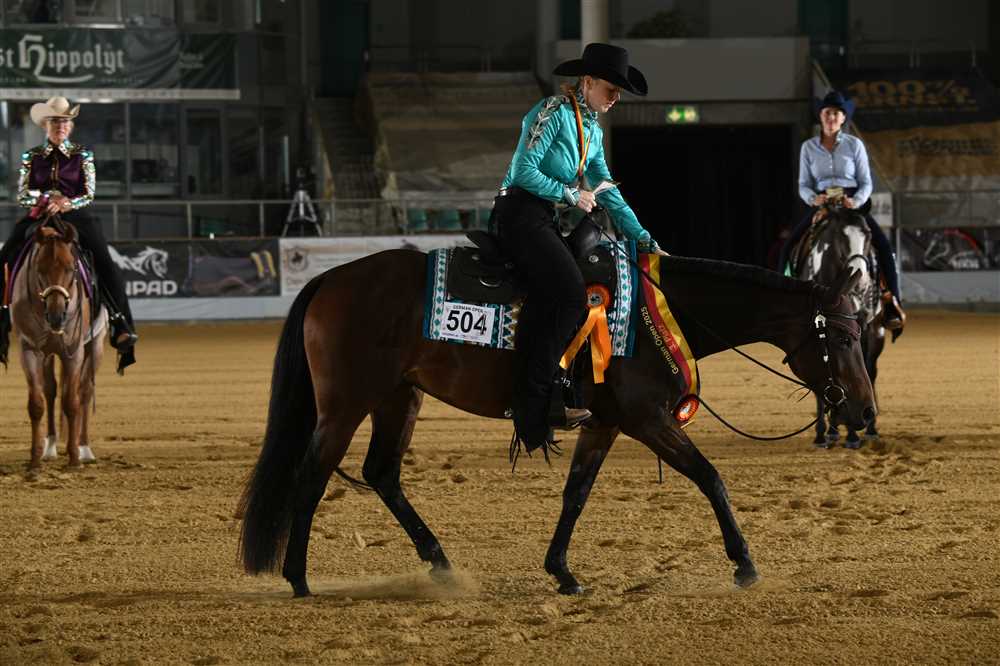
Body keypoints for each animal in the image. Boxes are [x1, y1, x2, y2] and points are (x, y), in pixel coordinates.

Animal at [9, 218, 107, 469]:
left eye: (71, 268)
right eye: (39, 269)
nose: (56, 316)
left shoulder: (74, 352)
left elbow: (71, 402)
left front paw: (73, 458)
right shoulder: (30, 350)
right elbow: (37, 404)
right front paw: (34, 459)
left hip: (95, 346)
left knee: (85, 391)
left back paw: (85, 448)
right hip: (49, 354)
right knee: (51, 390)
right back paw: (50, 446)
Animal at [238, 249, 876, 597]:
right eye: (844, 337)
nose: (866, 413)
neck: (652, 315)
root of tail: (331, 279)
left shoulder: (605, 423)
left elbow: (577, 493)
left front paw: (562, 572)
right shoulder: (648, 419)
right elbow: (709, 477)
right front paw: (743, 563)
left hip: (400, 397)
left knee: (382, 474)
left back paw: (441, 563)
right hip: (346, 404)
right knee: (312, 478)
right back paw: (298, 577)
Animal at [792, 203, 886, 449]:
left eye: (868, 234)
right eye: (840, 236)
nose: (861, 281)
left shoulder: (856, 327)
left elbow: (856, 374)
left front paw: (852, 435)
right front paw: (821, 434)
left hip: (877, 333)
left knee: (870, 371)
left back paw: (870, 427)